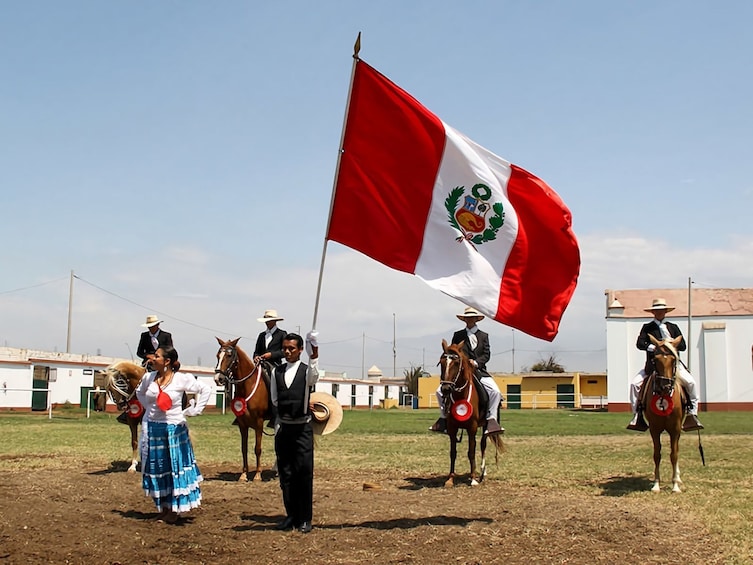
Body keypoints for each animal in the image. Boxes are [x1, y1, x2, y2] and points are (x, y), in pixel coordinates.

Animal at [212, 334, 274, 480]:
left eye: (229, 355)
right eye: (218, 355)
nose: (218, 378)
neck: (248, 386)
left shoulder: (259, 422)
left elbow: (257, 448)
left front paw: (257, 475)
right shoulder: (242, 423)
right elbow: (244, 448)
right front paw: (244, 474)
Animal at [438, 338, 502, 486]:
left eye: (456, 363)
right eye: (442, 362)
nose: (446, 389)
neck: (460, 395)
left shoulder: (472, 428)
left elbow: (471, 452)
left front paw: (473, 479)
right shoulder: (452, 428)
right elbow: (453, 452)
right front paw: (450, 478)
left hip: (486, 425)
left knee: (483, 445)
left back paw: (482, 472)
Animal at [636, 334, 684, 490]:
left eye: (673, 360)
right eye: (655, 360)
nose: (665, 386)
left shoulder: (675, 429)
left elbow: (674, 454)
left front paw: (675, 485)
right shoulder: (655, 428)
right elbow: (657, 454)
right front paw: (656, 484)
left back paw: (678, 477)